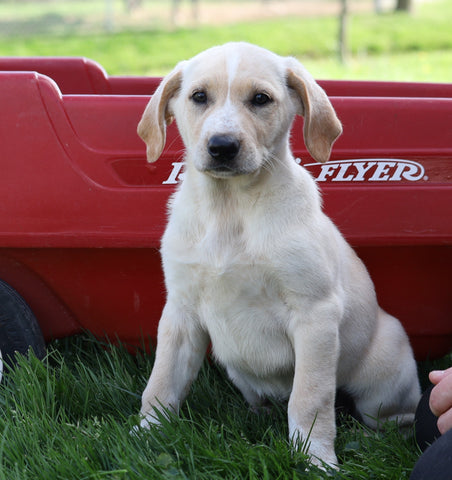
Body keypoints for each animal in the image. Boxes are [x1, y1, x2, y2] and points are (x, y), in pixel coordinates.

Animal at [135, 42, 420, 468]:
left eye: (260, 99)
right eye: (199, 97)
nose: (222, 146)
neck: (230, 209)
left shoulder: (314, 315)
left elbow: (310, 398)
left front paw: (317, 460)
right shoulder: (181, 313)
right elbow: (161, 382)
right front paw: (145, 435)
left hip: (383, 377)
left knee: (388, 417)